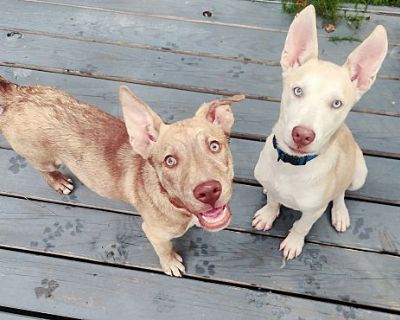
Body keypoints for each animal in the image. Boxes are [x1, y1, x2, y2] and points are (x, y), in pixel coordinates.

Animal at [0, 76, 244, 276]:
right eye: (169, 161)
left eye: (214, 146)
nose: (208, 191)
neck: (173, 201)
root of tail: (15, 93)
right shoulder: (154, 232)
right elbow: (164, 249)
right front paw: (170, 263)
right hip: (44, 158)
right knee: (42, 170)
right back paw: (58, 181)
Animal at [253, 5, 388, 260]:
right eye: (297, 90)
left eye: (337, 103)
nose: (302, 135)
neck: (292, 167)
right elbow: (274, 201)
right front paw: (267, 213)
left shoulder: (313, 211)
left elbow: (301, 226)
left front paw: (293, 242)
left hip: (358, 175)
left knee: (341, 192)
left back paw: (340, 212)